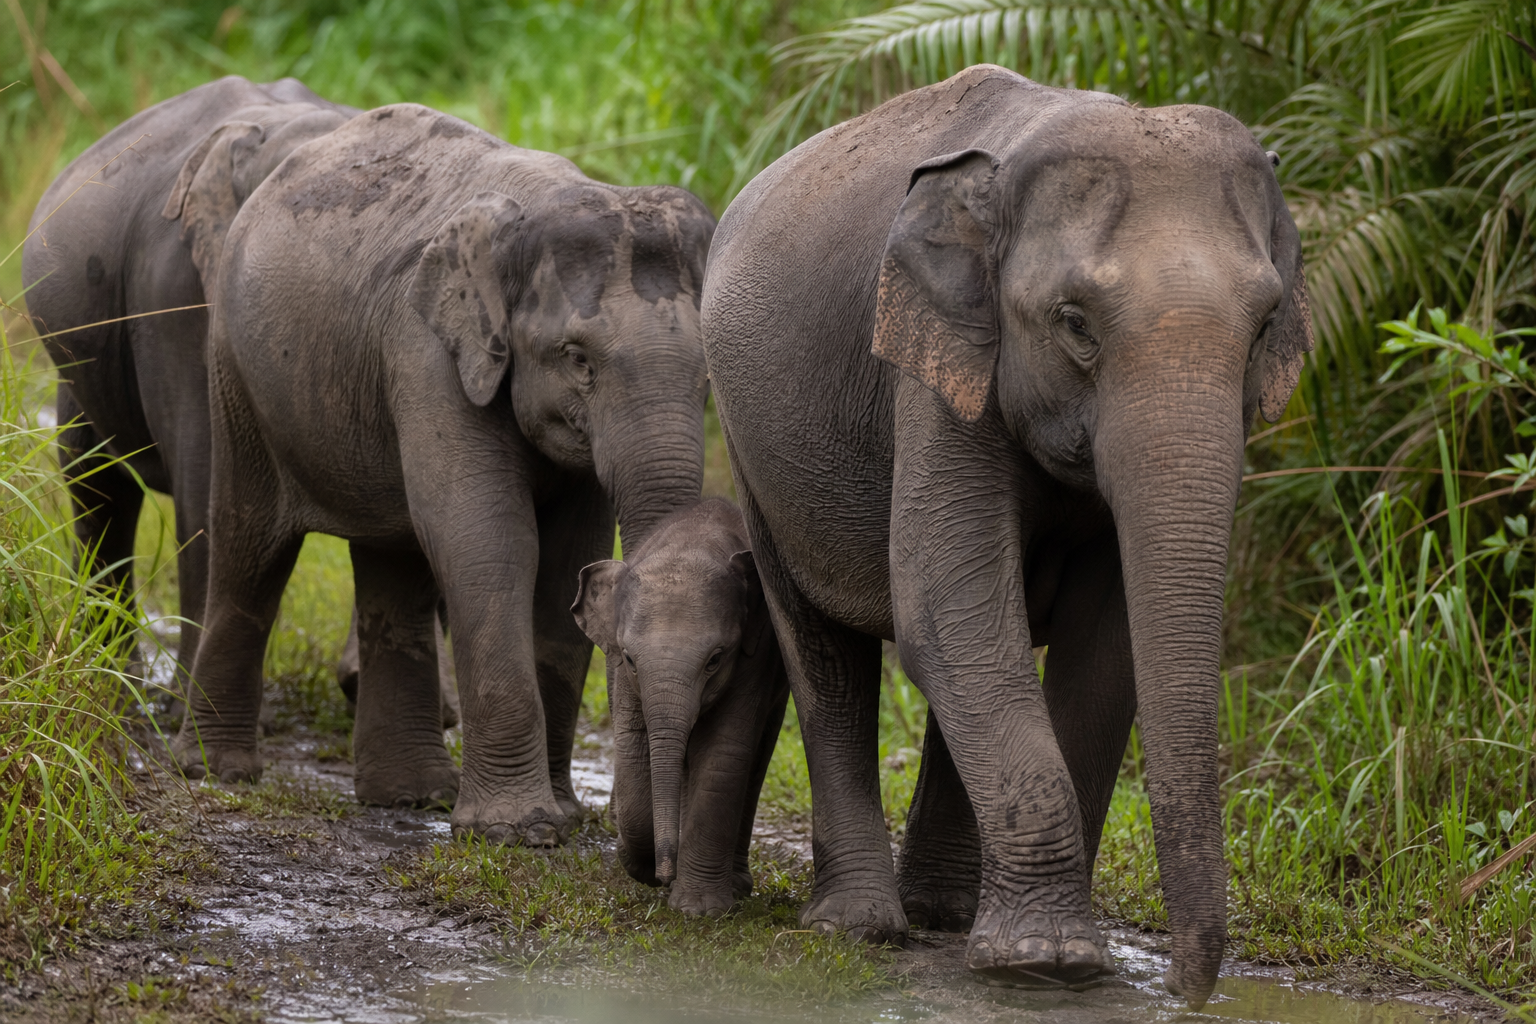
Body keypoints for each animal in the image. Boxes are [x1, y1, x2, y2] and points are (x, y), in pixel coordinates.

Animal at [21, 76, 353, 693]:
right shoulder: (173, 291)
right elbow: (209, 478)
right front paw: (189, 702)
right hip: (79, 357)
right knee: (95, 482)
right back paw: (112, 678)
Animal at [179, 103, 715, 843]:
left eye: (709, 373)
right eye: (579, 359)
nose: (635, 837)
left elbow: (566, 560)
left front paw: (561, 818)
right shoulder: (428, 351)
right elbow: (486, 536)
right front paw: (519, 832)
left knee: (393, 558)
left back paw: (409, 798)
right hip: (237, 373)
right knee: (250, 546)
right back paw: (219, 772)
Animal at [571, 497, 789, 916]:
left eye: (715, 660)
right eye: (630, 658)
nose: (664, 874)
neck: (691, 542)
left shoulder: (756, 659)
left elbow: (723, 752)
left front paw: (698, 910)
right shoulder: (622, 675)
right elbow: (633, 745)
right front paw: (638, 865)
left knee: (756, 757)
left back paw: (735, 885)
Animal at [702, 65, 1312, 1006]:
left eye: (1265, 325)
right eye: (1075, 323)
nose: (1188, 988)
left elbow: (1102, 644)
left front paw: (1049, 956)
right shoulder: (936, 373)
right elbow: (947, 609)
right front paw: (1043, 963)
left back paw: (945, 913)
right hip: (749, 445)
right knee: (825, 650)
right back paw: (860, 925)